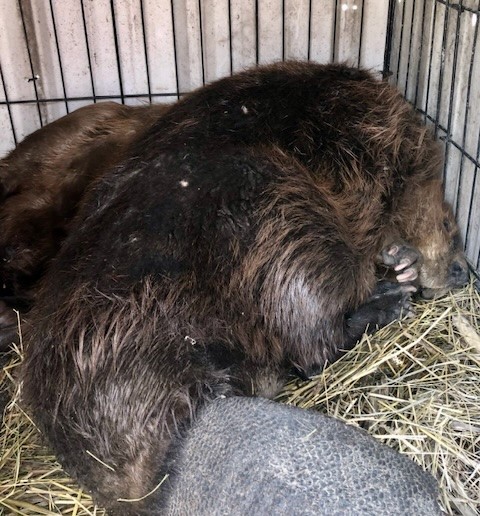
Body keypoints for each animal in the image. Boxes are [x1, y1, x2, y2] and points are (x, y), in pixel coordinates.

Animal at [20, 62, 466, 512]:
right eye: (450, 225)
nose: (461, 272)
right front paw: (402, 263)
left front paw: (400, 262)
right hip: (273, 198)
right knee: (314, 347)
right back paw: (390, 300)